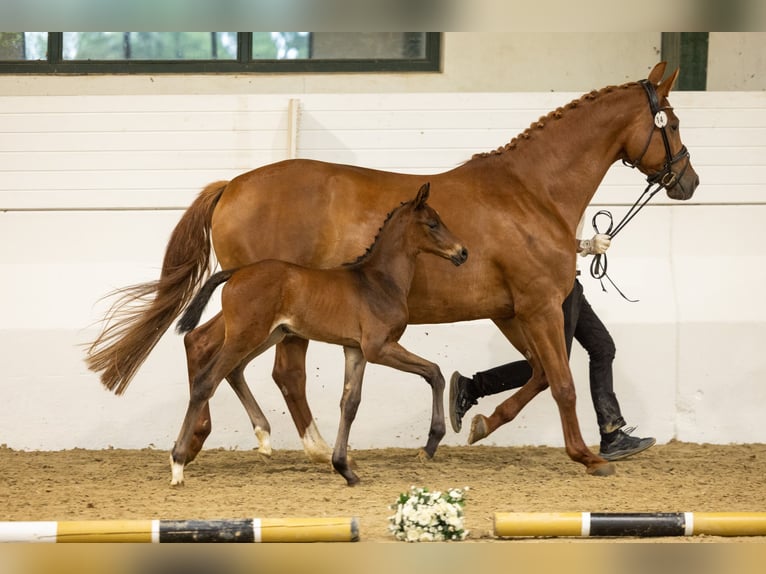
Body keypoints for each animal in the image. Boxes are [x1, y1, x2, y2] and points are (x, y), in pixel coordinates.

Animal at [170, 183, 468, 485]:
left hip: (270, 335)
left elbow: (350, 403)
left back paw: (263, 438)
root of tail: (236, 273)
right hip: (246, 335)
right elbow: (434, 372)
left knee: (233, 371)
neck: (378, 280)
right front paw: (431, 443)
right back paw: (178, 464)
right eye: (432, 223)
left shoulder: (355, 350)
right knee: (207, 380)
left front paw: (344, 468)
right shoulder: (379, 347)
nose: (463, 252)